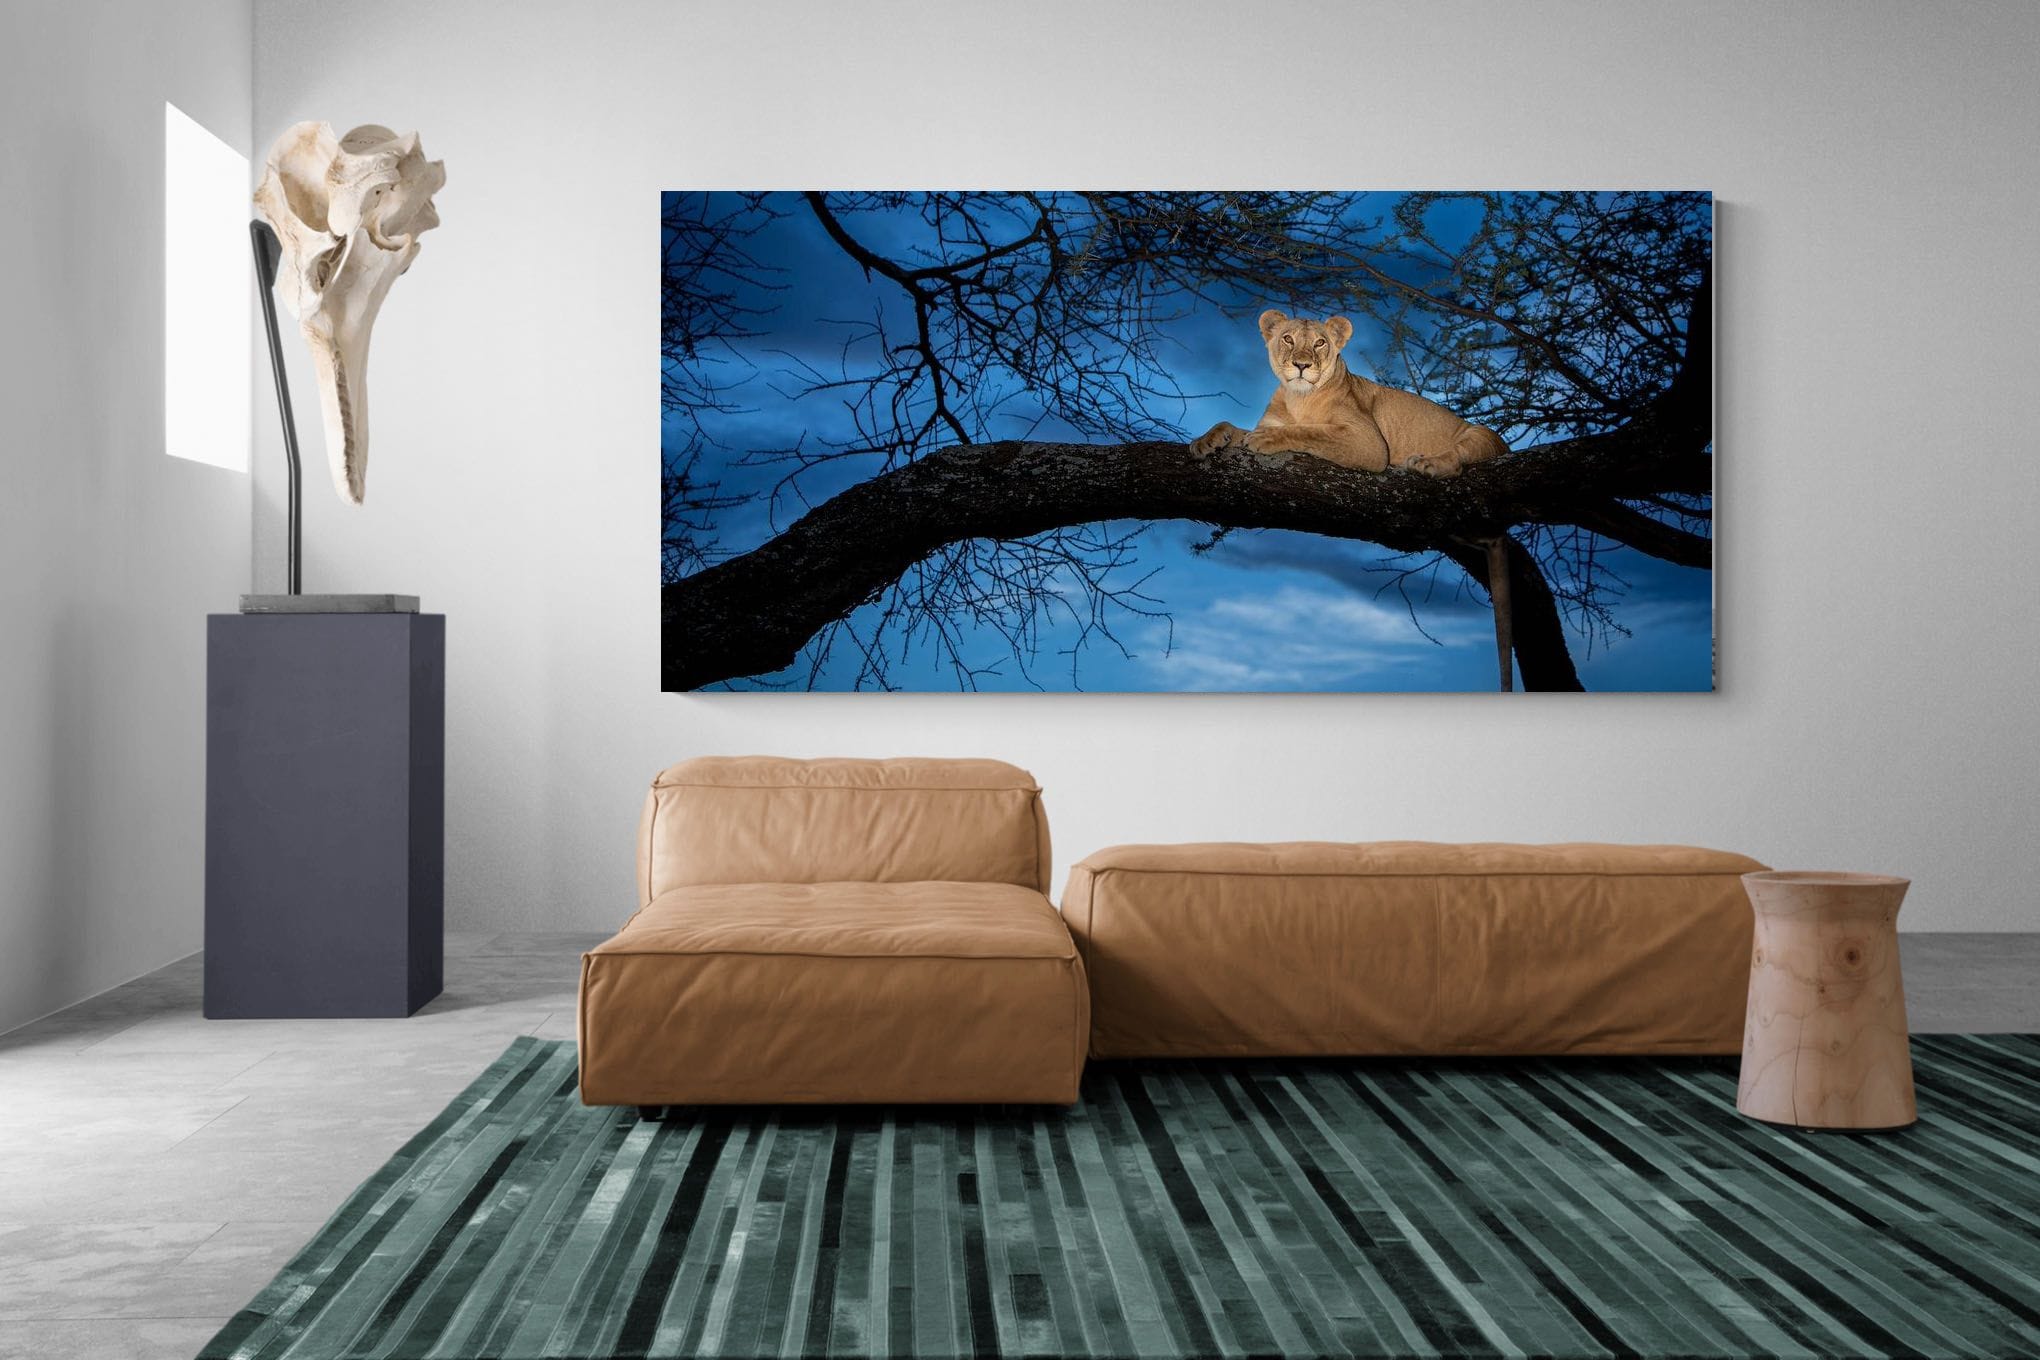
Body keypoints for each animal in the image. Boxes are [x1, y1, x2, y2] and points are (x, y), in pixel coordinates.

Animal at [1190, 310, 1507, 477]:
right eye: (1288, 339)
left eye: (1319, 343)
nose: (1302, 364)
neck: (1299, 398)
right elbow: (1230, 426)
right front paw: (1205, 441)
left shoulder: (1369, 441)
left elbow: (1310, 432)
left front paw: (1267, 439)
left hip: (1480, 434)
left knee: (1458, 459)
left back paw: (1426, 463)